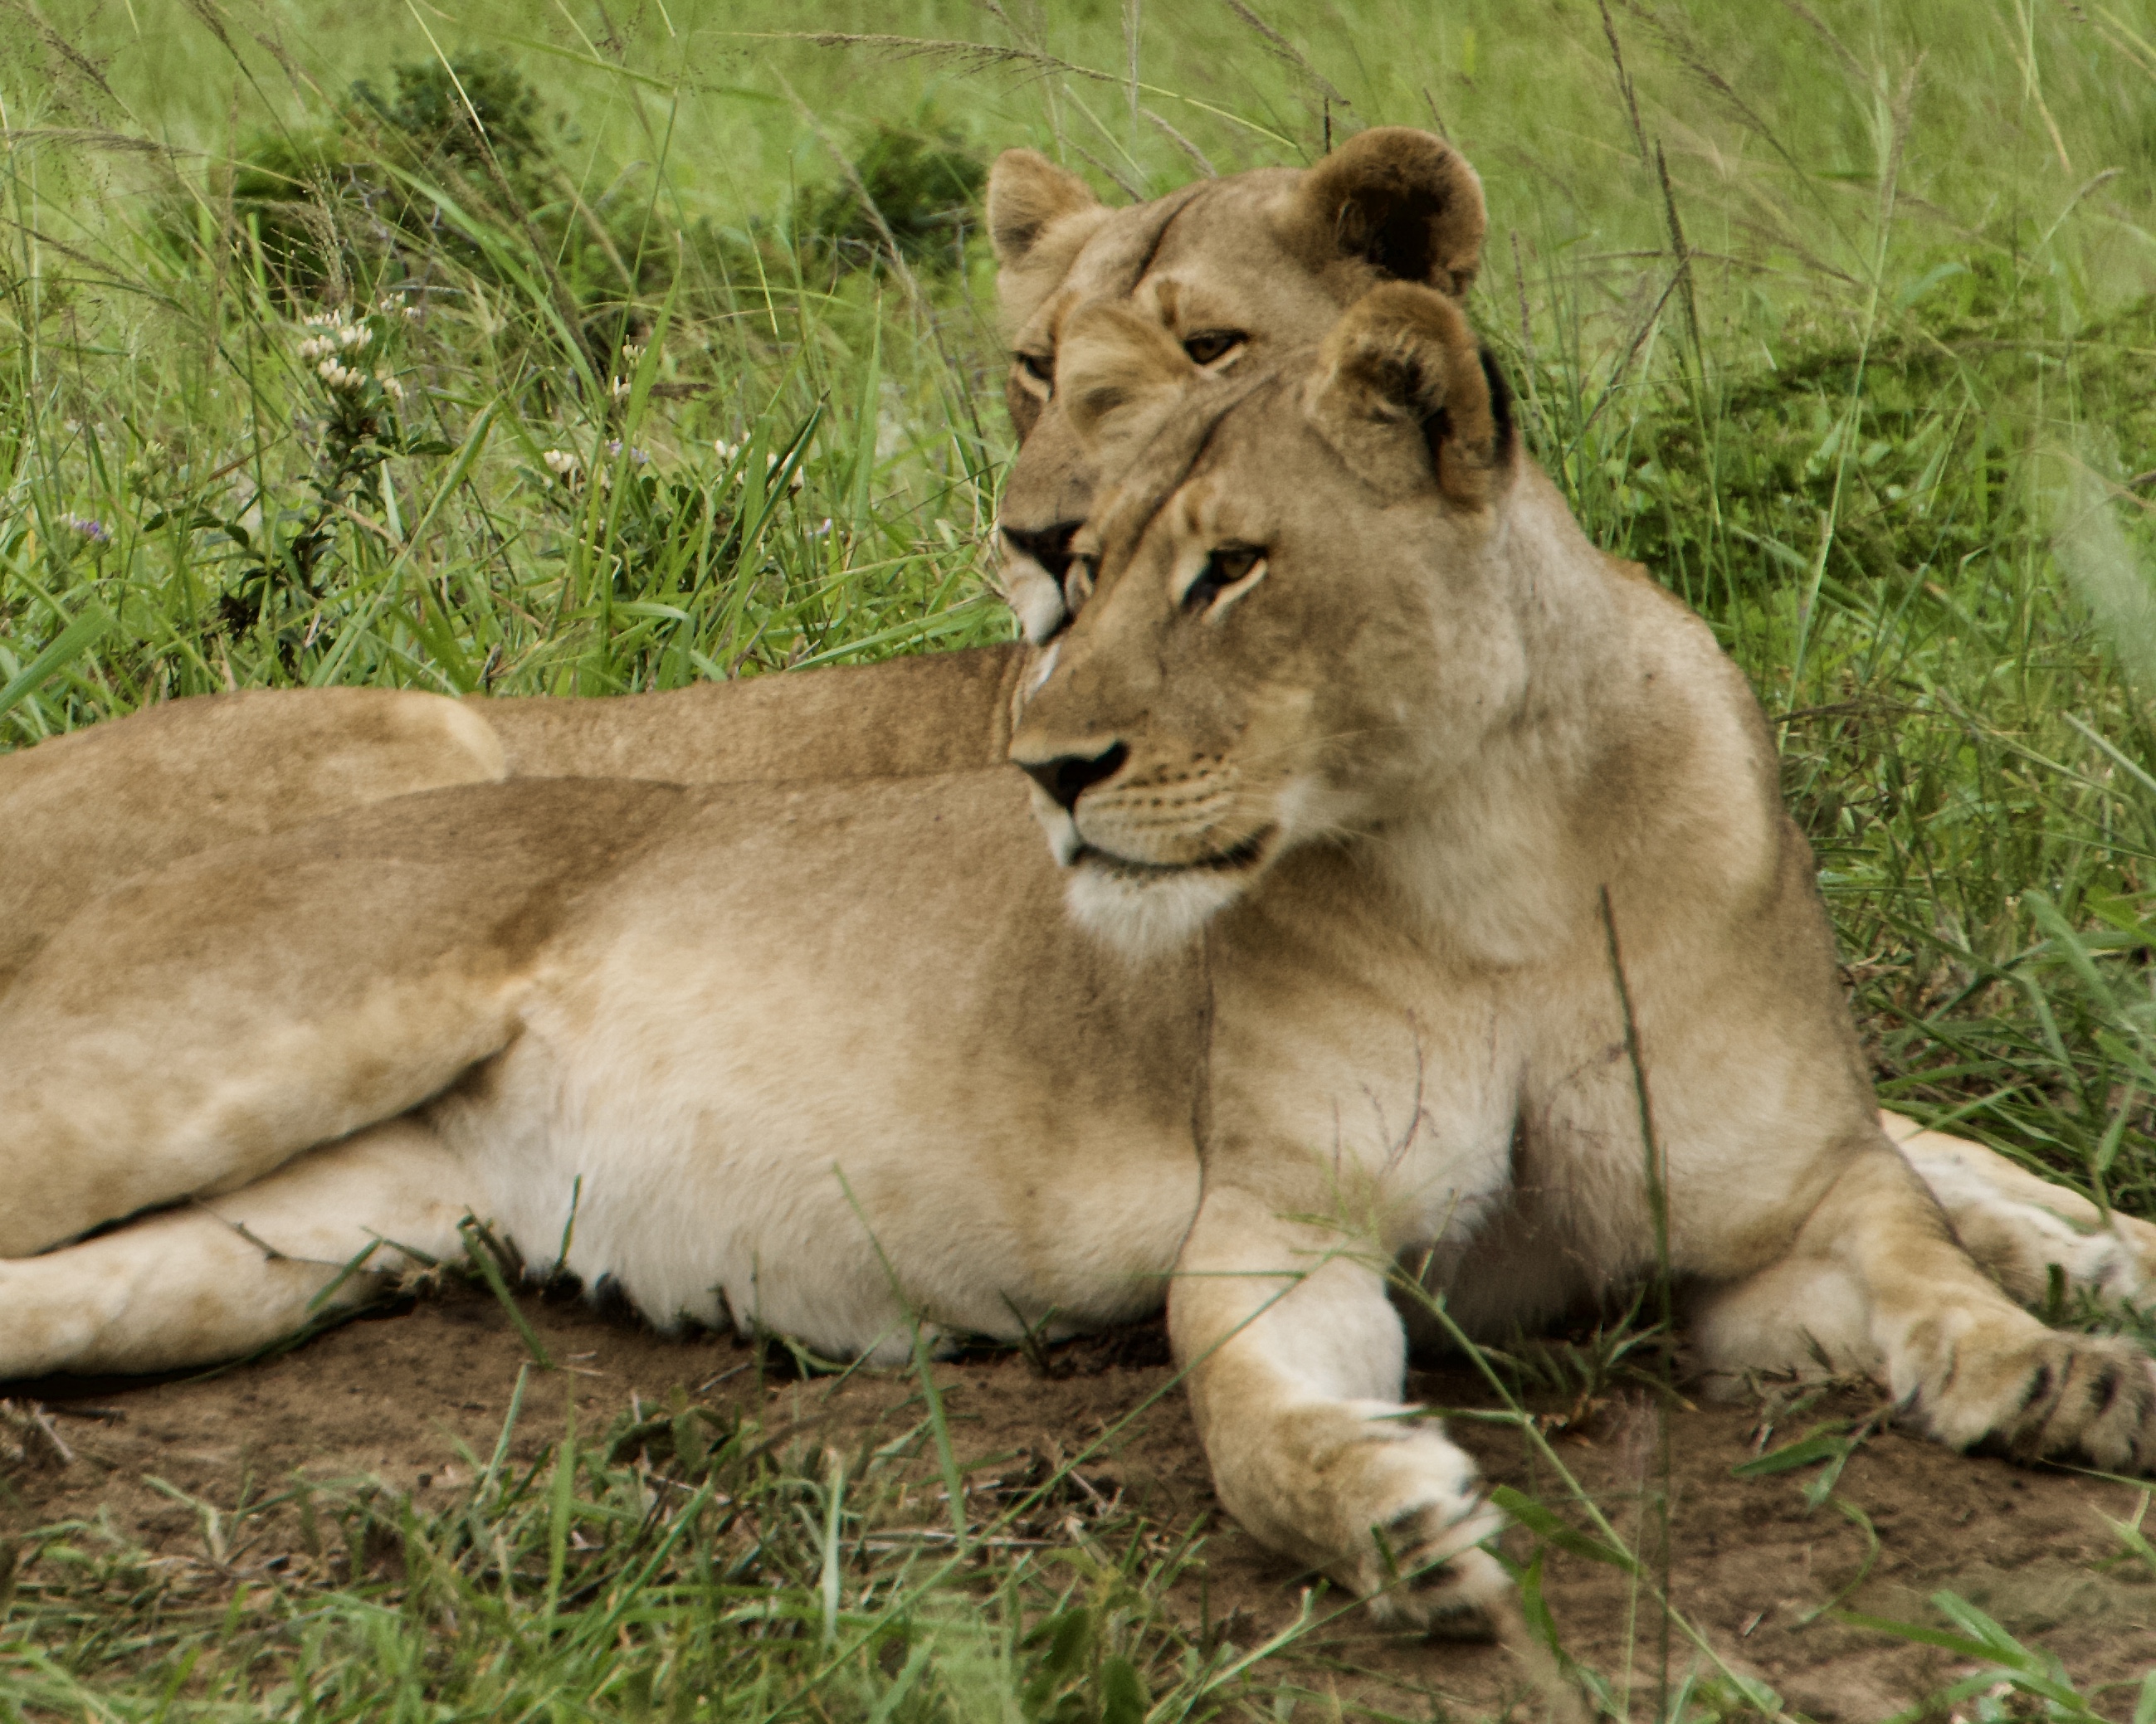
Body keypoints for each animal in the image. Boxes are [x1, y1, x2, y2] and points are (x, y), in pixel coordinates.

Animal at [6, 285, 2155, 1636]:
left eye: (1233, 564)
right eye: (1096, 562)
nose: (1045, 764)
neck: (1499, 855)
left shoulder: (1778, 1221)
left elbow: (1916, 1250)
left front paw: (2063, 1358)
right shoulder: (1280, 1229)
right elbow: (1261, 1427)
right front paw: (1389, 1526)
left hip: (300, 1231)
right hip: (254, 968)